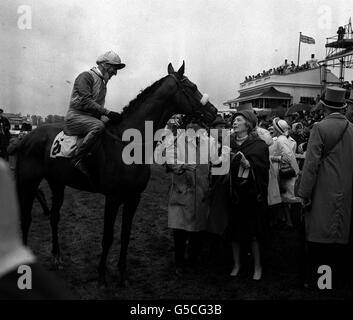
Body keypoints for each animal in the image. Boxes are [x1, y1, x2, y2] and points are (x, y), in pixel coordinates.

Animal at [15, 62, 217, 284]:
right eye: (192, 86)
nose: (214, 111)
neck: (128, 143)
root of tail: (27, 137)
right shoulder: (112, 198)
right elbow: (108, 236)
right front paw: (102, 274)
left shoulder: (133, 198)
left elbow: (125, 235)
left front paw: (121, 273)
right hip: (28, 182)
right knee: (26, 218)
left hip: (57, 182)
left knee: (54, 217)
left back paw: (57, 257)